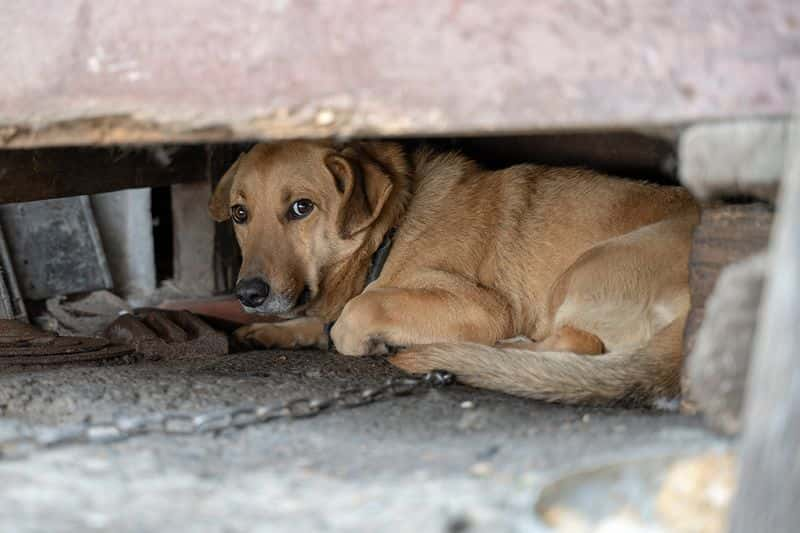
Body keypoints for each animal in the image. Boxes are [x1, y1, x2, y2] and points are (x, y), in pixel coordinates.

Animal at [209, 139, 696, 406]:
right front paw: (268, 332)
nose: (247, 294)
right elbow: (319, 321)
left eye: (301, 208)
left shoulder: (486, 307)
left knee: (580, 344)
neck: (394, 227)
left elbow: (356, 312)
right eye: (239, 214)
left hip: (586, 269)